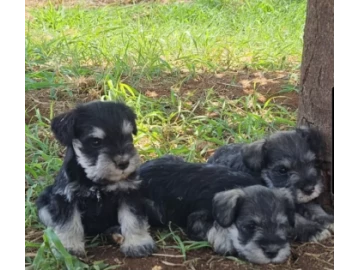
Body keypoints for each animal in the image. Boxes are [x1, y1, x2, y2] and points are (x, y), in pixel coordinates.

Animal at [35, 100, 155, 258]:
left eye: (127, 136)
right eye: (96, 142)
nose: (123, 163)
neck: (96, 181)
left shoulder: (129, 193)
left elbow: (133, 219)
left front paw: (138, 243)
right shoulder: (66, 197)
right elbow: (68, 224)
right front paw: (68, 248)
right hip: (44, 201)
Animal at [139, 159, 296, 264]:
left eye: (283, 225)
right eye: (250, 226)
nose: (272, 252)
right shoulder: (197, 219)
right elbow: (213, 227)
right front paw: (225, 241)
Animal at [207, 126, 336, 243]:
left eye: (311, 162)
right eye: (282, 170)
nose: (309, 189)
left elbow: (313, 206)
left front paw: (328, 219)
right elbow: (295, 219)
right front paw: (313, 230)